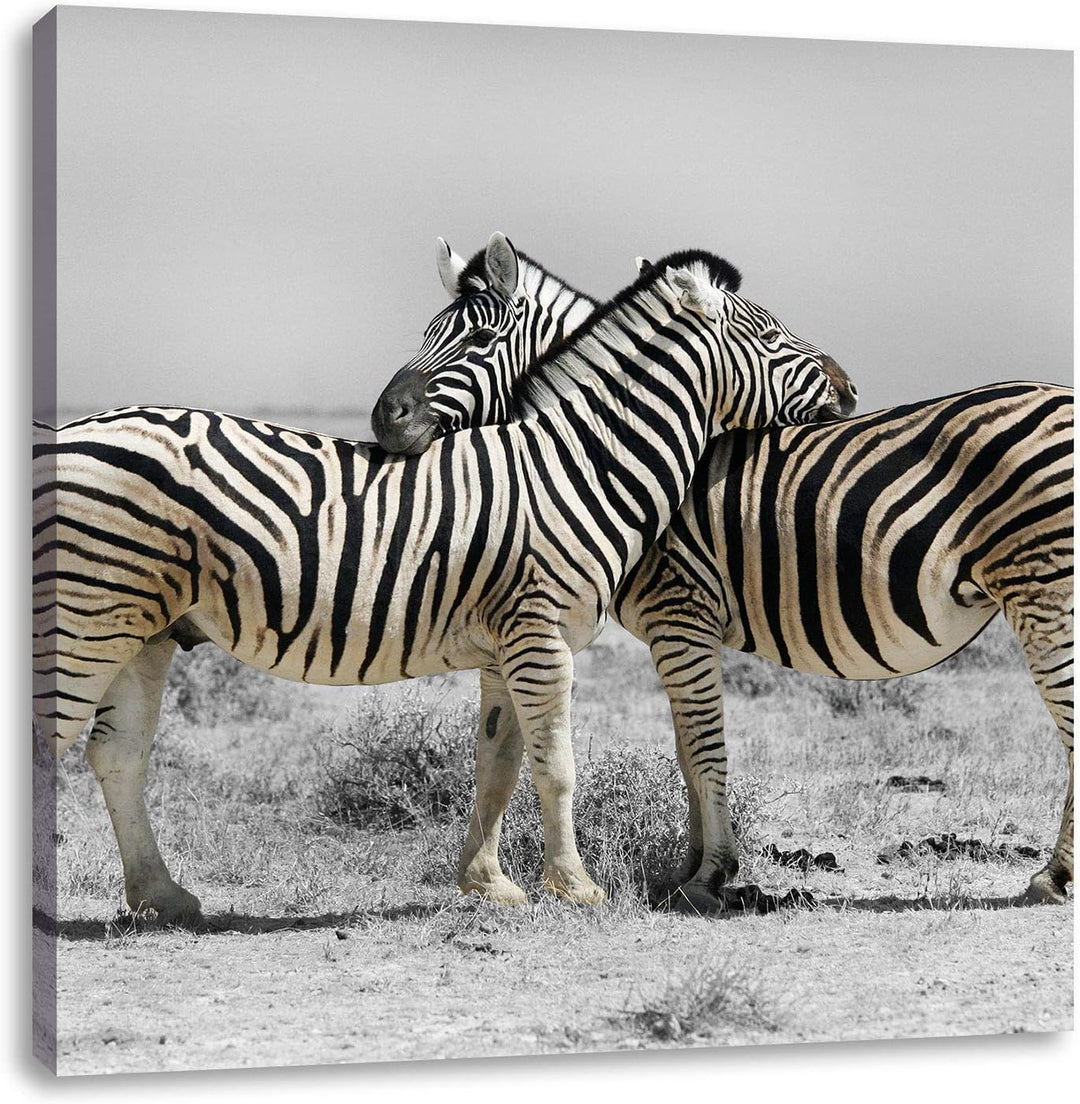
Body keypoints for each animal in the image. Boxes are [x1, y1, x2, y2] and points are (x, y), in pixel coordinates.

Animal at [32, 238, 848, 924]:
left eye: (479, 338)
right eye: (771, 336)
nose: (847, 388)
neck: (579, 463)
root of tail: (68, 432)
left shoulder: (506, 646)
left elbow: (499, 765)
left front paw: (490, 884)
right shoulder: (541, 636)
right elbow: (558, 766)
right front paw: (577, 888)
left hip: (144, 630)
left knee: (117, 756)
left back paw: (162, 896)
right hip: (84, 619)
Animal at [372, 238, 1073, 912]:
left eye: (477, 340)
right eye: (431, 332)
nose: (384, 419)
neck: (605, 451)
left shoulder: (680, 613)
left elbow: (704, 747)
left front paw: (711, 876)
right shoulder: (676, 629)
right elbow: (687, 753)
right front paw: (689, 871)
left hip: (1044, 589)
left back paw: (1053, 878)